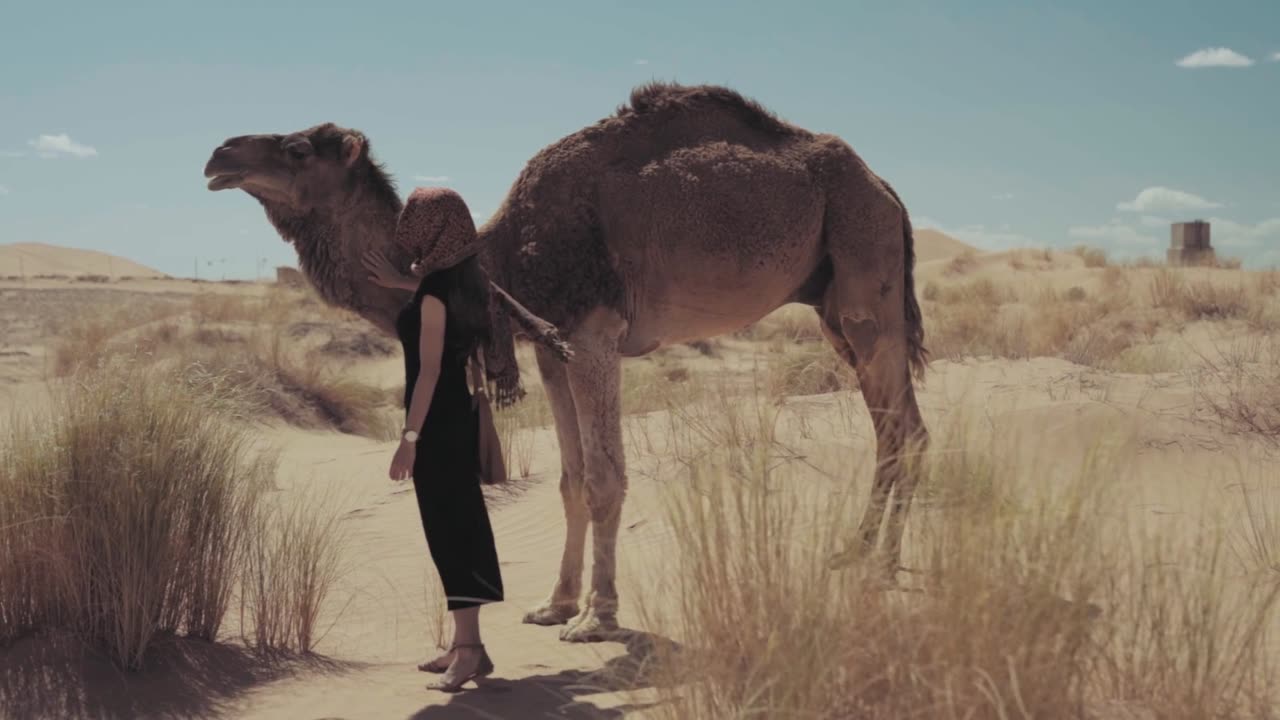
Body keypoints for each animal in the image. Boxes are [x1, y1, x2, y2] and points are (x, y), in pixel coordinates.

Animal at [207, 81, 931, 640]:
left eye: (299, 148)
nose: (219, 154)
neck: (495, 256)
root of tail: (887, 189)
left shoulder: (592, 335)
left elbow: (606, 478)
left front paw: (597, 618)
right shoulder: (550, 350)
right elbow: (571, 479)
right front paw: (554, 605)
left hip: (863, 267)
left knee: (901, 426)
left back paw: (879, 565)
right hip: (834, 301)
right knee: (899, 427)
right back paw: (858, 553)